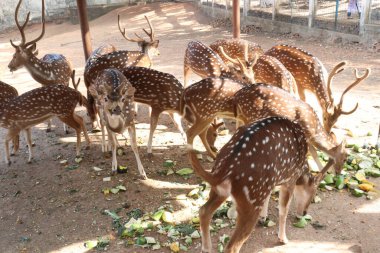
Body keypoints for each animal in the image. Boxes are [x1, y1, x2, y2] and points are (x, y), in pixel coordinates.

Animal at [190, 117, 332, 252]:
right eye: (313, 194)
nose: (303, 213)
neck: (302, 168)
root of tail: (223, 171)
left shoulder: (271, 182)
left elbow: (269, 197)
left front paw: (264, 218)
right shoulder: (290, 178)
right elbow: (283, 209)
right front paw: (283, 239)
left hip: (219, 190)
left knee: (204, 211)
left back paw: (206, 248)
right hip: (252, 199)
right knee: (232, 247)